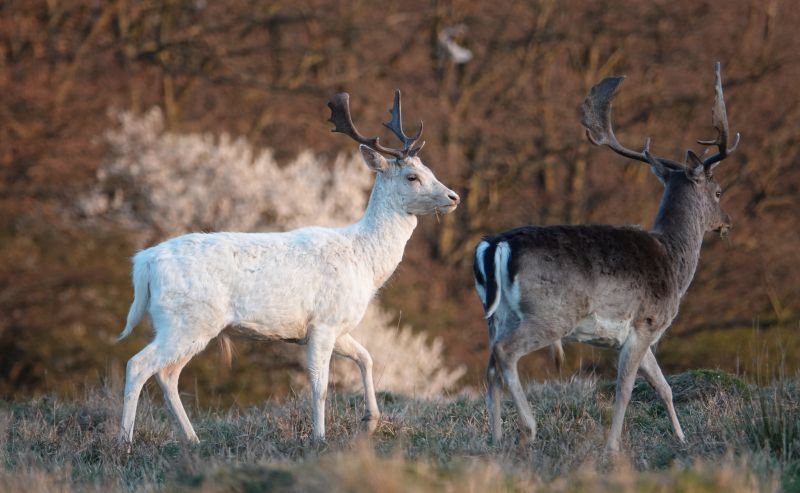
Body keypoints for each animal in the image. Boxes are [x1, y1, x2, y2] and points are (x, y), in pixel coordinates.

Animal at [117, 90, 460, 445]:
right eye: (412, 176)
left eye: (428, 168)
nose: (453, 196)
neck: (365, 262)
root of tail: (145, 262)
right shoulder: (323, 322)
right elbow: (320, 386)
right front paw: (319, 438)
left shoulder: (337, 326)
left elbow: (366, 357)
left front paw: (370, 421)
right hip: (186, 320)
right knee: (138, 365)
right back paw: (124, 441)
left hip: (182, 324)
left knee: (167, 374)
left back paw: (192, 439)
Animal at [473, 63, 739, 452]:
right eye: (718, 191)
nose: (727, 221)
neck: (675, 262)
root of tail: (494, 246)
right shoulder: (645, 322)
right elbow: (625, 389)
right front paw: (612, 446)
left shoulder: (642, 335)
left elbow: (664, 387)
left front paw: (681, 438)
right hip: (551, 313)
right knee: (506, 353)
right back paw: (529, 428)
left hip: (496, 315)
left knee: (491, 362)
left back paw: (495, 437)